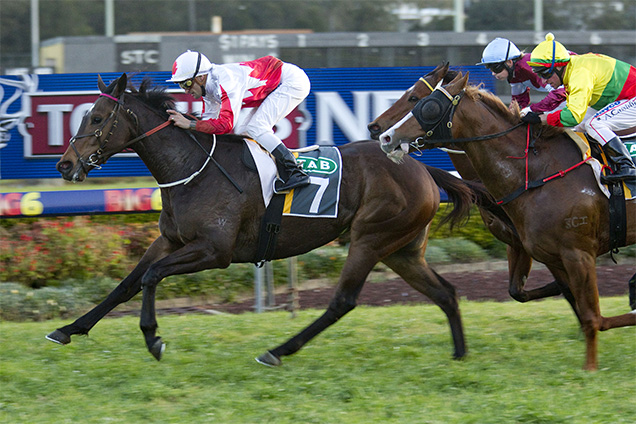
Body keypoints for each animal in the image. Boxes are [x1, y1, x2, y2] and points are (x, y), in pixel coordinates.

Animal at [48, 72, 476, 364]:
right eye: (85, 115)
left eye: (97, 118)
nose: (64, 164)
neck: (191, 168)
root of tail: (422, 168)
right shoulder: (170, 240)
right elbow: (127, 284)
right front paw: (68, 329)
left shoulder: (214, 251)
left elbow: (151, 277)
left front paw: (153, 338)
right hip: (401, 249)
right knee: (445, 292)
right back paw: (459, 354)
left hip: (371, 239)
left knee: (343, 301)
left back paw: (277, 351)